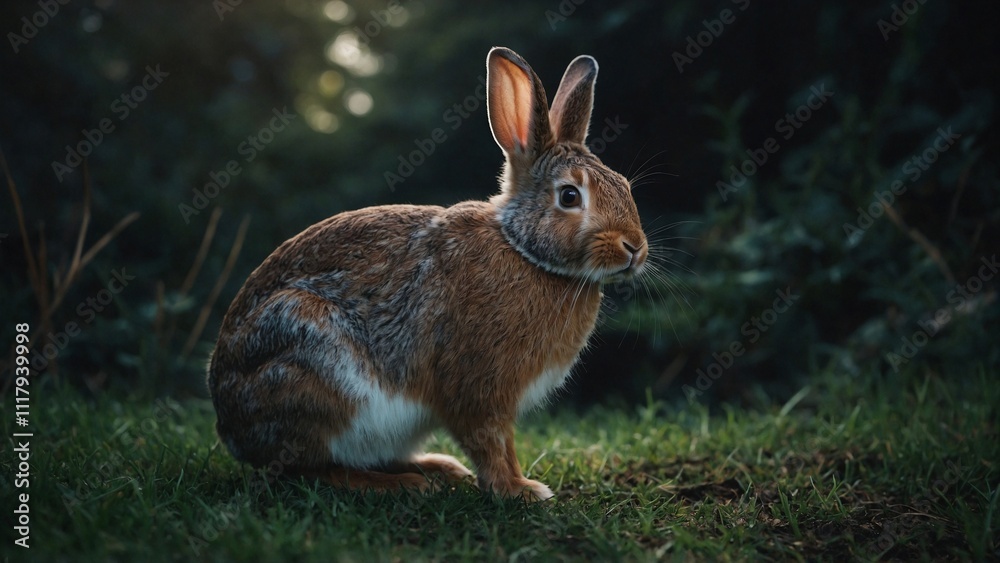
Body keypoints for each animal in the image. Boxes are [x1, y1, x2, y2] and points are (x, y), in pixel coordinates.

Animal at [208, 46, 648, 500]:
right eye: (569, 196)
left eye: (624, 185)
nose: (635, 248)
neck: (523, 250)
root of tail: (231, 428)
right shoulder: (478, 387)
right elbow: (492, 442)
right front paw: (520, 490)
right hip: (315, 364)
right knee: (312, 468)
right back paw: (401, 484)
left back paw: (438, 468)